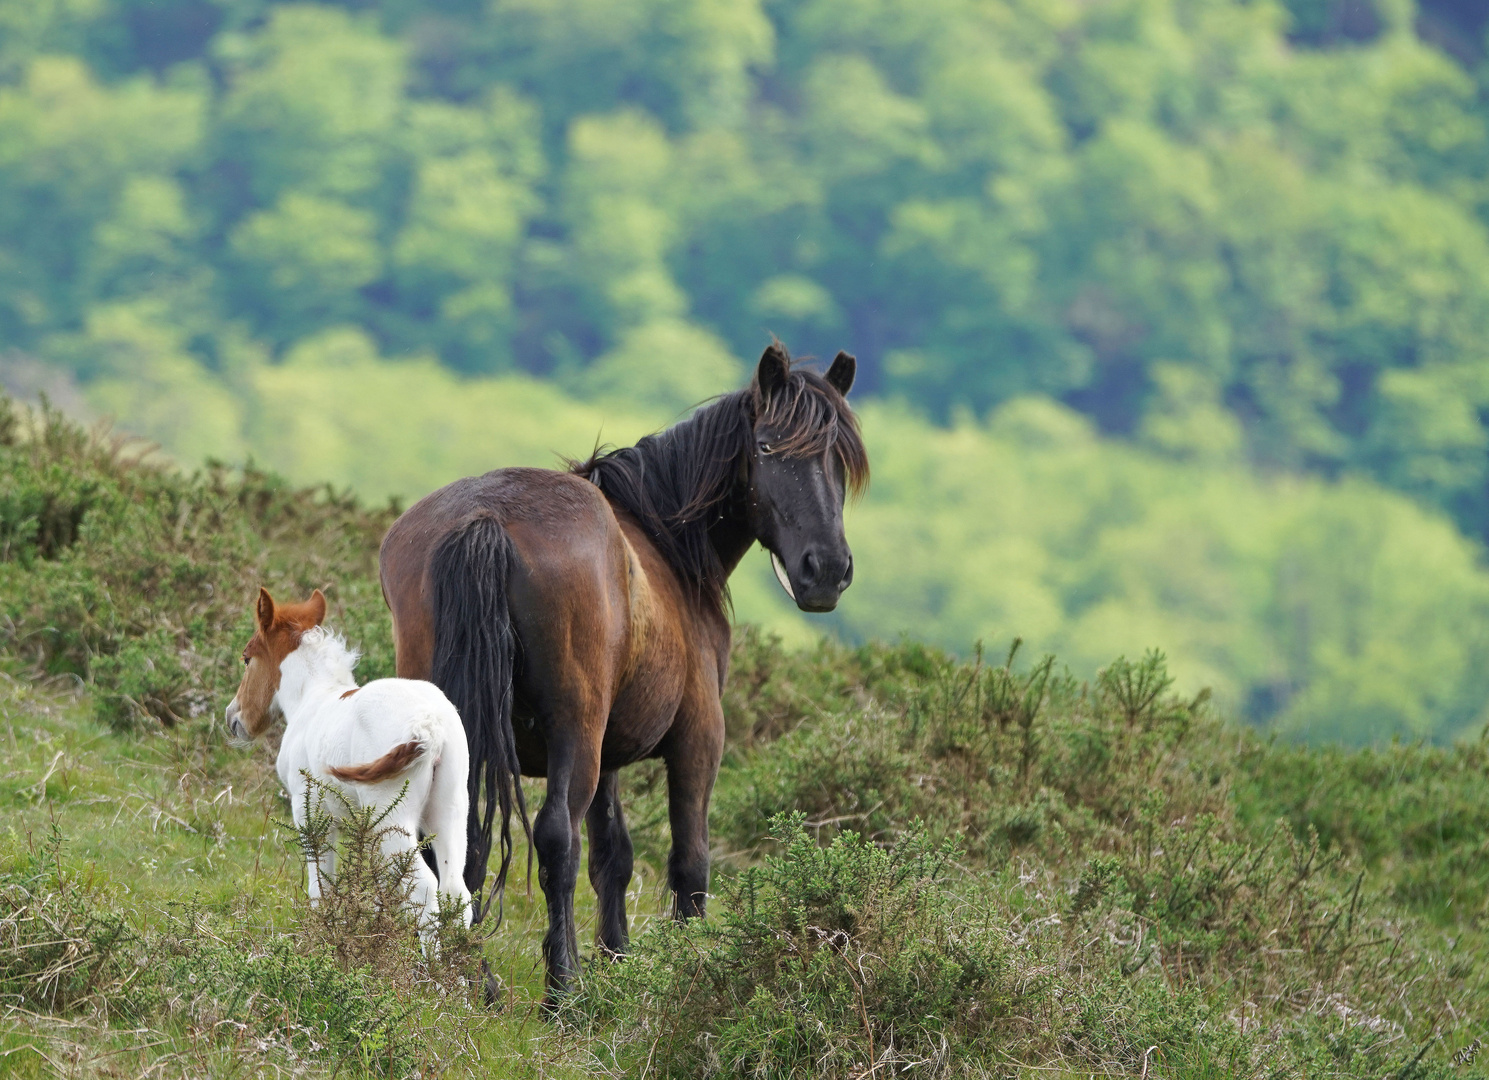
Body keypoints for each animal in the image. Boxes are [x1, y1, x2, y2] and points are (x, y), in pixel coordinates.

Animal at [224, 586, 470, 929]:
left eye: (247, 658)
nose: (233, 717)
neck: (313, 699)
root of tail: (429, 723)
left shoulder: (309, 810)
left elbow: (320, 887)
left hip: (392, 817)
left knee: (424, 888)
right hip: (451, 810)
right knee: (457, 891)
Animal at [378, 341, 869, 1001]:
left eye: (839, 456)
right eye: (767, 447)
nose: (827, 571)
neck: (666, 544)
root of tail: (486, 519)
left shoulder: (609, 754)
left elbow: (614, 857)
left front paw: (618, 959)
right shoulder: (698, 740)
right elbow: (689, 862)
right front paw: (687, 970)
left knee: (461, 843)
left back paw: (471, 979)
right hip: (575, 731)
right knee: (555, 839)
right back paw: (561, 989)